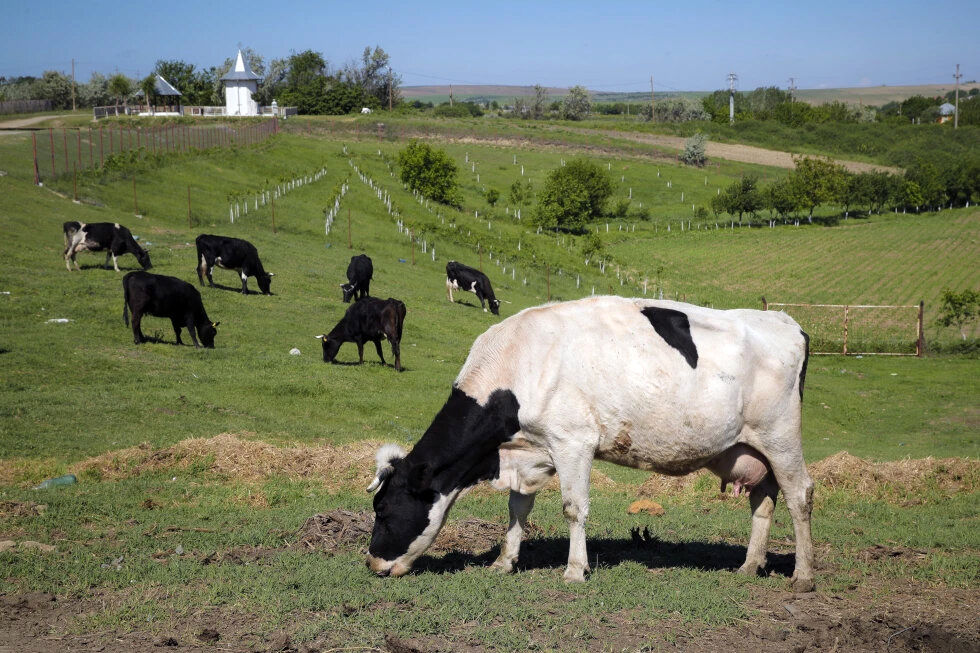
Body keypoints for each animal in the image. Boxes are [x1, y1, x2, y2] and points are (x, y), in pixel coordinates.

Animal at [364, 296, 816, 592]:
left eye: (383, 509)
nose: (372, 563)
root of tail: (786, 322)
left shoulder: (573, 441)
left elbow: (573, 508)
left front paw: (574, 570)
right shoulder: (530, 451)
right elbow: (517, 508)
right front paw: (504, 562)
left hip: (781, 436)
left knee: (799, 495)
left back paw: (804, 575)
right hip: (753, 450)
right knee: (764, 502)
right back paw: (750, 565)